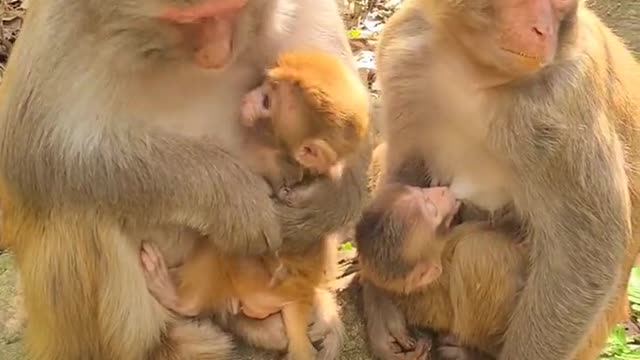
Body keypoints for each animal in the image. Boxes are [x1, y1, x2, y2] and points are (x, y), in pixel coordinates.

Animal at [0, 0, 370, 358]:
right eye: (187, 20)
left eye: (232, 9)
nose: (217, 55)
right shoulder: (63, 25)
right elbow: (34, 152)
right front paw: (233, 197)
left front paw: (321, 204)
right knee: (76, 209)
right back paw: (165, 343)